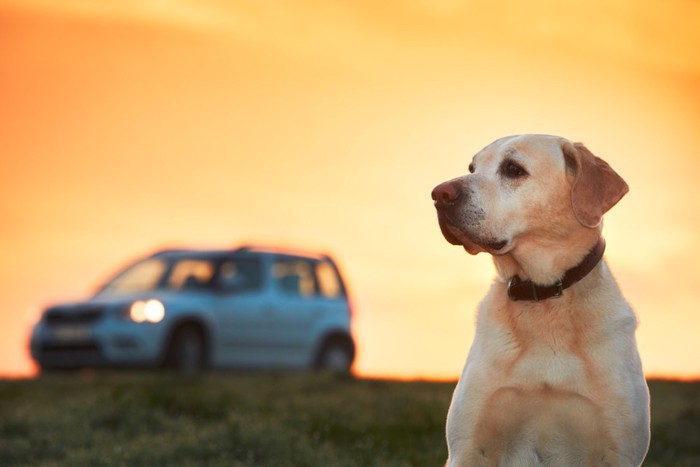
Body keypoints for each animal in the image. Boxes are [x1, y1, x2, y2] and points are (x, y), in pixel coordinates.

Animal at [432, 135, 652, 467]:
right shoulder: (468, 448)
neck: (544, 296)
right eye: (472, 168)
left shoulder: (618, 451)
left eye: (513, 169)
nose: (438, 194)